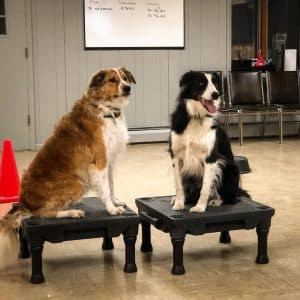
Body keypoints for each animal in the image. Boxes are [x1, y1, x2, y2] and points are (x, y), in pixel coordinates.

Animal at [0, 67, 135, 268]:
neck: (107, 110)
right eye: (112, 80)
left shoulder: (109, 161)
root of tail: (25, 201)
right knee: (43, 213)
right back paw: (72, 211)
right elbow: (104, 188)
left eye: (125, 78)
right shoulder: (100, 162)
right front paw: (111, 209)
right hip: (77, 183)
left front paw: (115, 202)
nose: (127, 88)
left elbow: (110, 186)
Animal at [169, 71, 248, 212]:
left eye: (215, 83)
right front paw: (179, 203)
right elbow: (178, 185)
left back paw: (216, 200)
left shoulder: (210, 158)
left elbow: (205, 187)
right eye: (201, 83)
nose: (216, 94)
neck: (197, 117)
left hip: (230, 169)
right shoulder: (176, 155)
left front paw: (200, 207)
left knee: (231, 198)